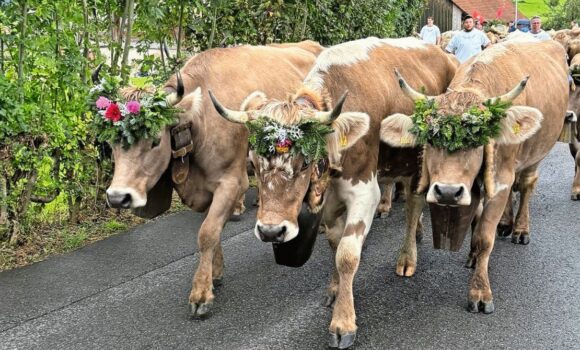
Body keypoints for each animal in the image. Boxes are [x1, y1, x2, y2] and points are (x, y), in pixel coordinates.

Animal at [96, 41, 322, 318]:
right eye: (111, 143)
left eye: (155, 141)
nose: (118, 197)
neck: (201, 120)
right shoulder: (205, 189)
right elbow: (212, 230)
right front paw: (215, 272)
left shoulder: (232, 182)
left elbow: (207, 233)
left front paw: (201, 293)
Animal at [208, 37, 458, 348]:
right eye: (253, 163)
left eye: (304, 163)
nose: (270, 231)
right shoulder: (329, 201)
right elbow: (334, 245)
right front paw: (335, 289)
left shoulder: (365, 193)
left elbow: (347, 255)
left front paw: (343, 323)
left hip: (420, 162)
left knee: (413, 206)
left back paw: (407, 258)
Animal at [380, 39, 568, 314]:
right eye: (432, 140)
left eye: (478, 143)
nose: (447, 192)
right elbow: (474, 220)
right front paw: (471, 255)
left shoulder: (500, 181)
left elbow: (483, 237)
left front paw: (480, 291)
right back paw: (505, 223)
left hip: (537, 154)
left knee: (526, 185)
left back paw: (520, 229)